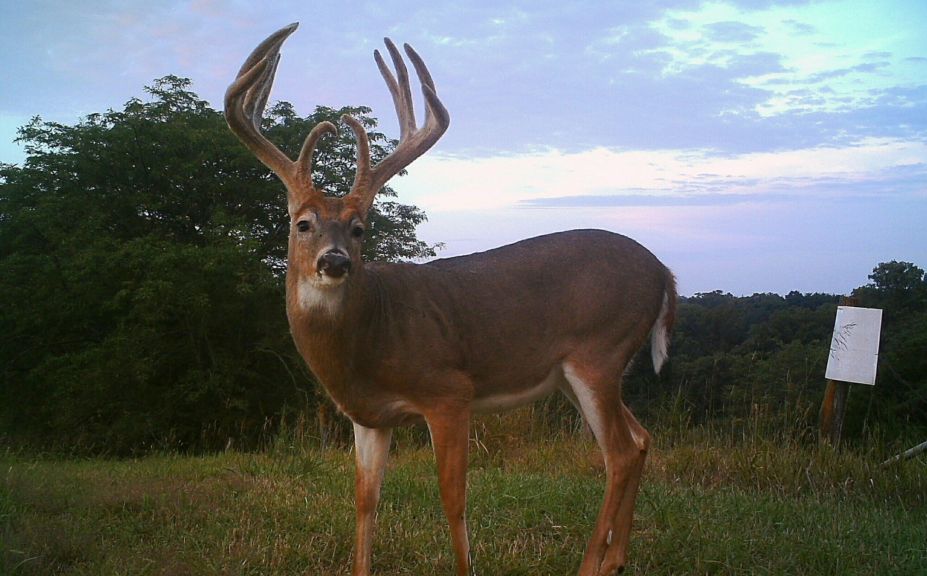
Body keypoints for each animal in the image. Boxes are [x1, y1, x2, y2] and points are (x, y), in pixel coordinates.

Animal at [225, 23, 676, 576]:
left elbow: (453, 497)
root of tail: (664, 272)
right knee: (640, 439)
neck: (369, 337)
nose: (335, 261)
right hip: (578, 373)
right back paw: (615, 560)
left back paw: (591, 564)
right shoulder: (368, 417)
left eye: (360, 227)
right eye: (302, 223)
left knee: (619, 453)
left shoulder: (449, 391)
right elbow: (365, 500)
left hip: (599, 351)